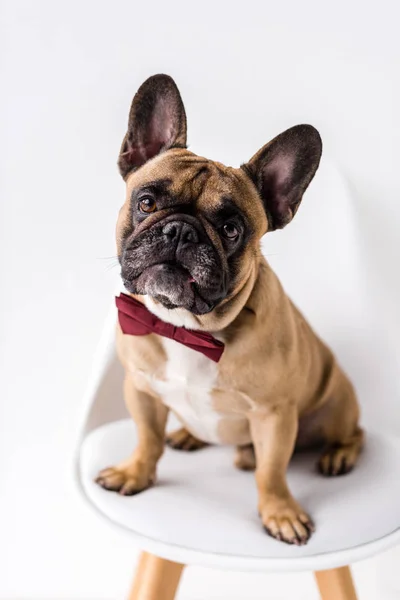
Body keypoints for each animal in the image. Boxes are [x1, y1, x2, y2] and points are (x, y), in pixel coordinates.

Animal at [95, 74, 364, 544]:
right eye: (146, 202)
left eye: (231, 229)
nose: (181, 231)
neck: (186, 328)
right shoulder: (141, 389)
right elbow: (147, 438)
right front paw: (135, 473)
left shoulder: (274, 415)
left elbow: (272, 472)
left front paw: (280, 512)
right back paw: (188, 436)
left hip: (337, 404)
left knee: (354, 434)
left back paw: (339, 455)